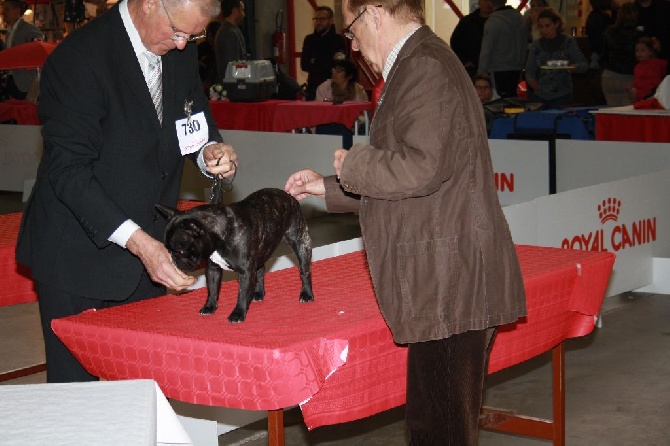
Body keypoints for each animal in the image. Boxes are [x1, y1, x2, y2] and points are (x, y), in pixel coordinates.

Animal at [157, 187, 316, 320]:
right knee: (260, 270)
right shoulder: (213, 268)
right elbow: (212, 289)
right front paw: (209, 307)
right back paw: (259, 293)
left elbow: (242, 293)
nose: (173, 260)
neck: (221, 234)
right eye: (168, 249)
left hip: (300, 242)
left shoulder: (245, 272)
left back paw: (306, 294)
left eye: (180, 251)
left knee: (304, 271)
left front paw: (238, 313)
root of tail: (288, 196)